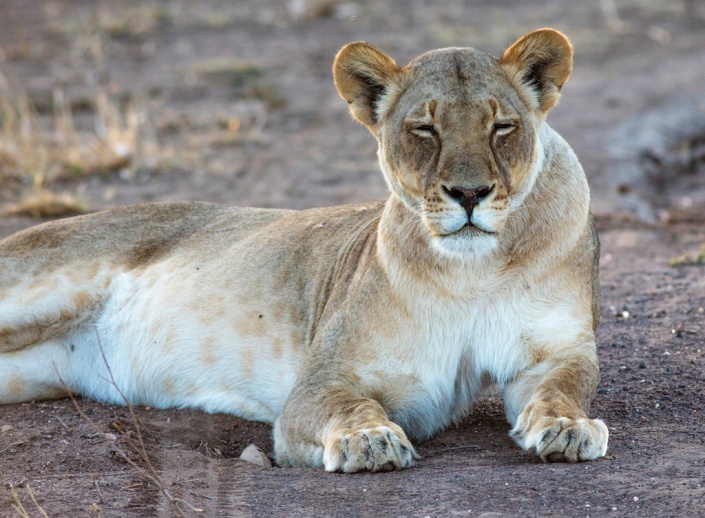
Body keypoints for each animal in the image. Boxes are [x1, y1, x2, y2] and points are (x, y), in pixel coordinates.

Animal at [0, 29, 608, 472]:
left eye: (502, 126)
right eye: (425, 130)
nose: (469, 193)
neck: (474, 269)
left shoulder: (557, 349)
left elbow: (565, 388)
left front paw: (569, 428)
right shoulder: (323, 380)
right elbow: (348, 406)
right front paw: (370, 439)